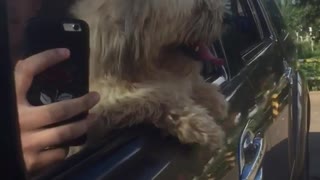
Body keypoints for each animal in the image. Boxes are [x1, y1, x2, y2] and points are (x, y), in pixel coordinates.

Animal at [70, 0, 228, 152]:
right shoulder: (105, 100)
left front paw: (213, 99)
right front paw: (203, 128)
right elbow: (156, 97)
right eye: (198, 7)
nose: (227, 17)